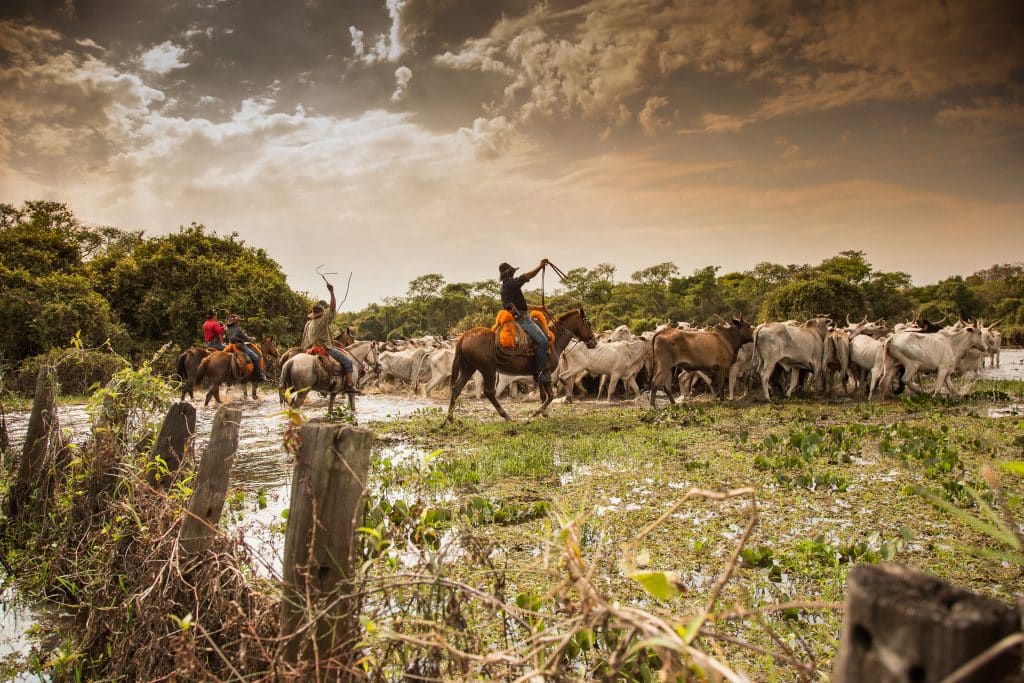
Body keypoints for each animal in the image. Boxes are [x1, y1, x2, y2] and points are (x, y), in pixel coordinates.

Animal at [444, 305, 598, 421]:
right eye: (589, 323)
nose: (594, 342)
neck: (553, 340)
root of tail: (464, 336)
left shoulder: (539, 374)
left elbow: (543, 395)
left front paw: (543, 413)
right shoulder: (546, 372)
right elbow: (550, 396)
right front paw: (535, 413)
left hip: (468, 368)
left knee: (457, 389)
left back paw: (450, 418)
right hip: (488, 369)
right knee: (489, 392)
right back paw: (505, 415)